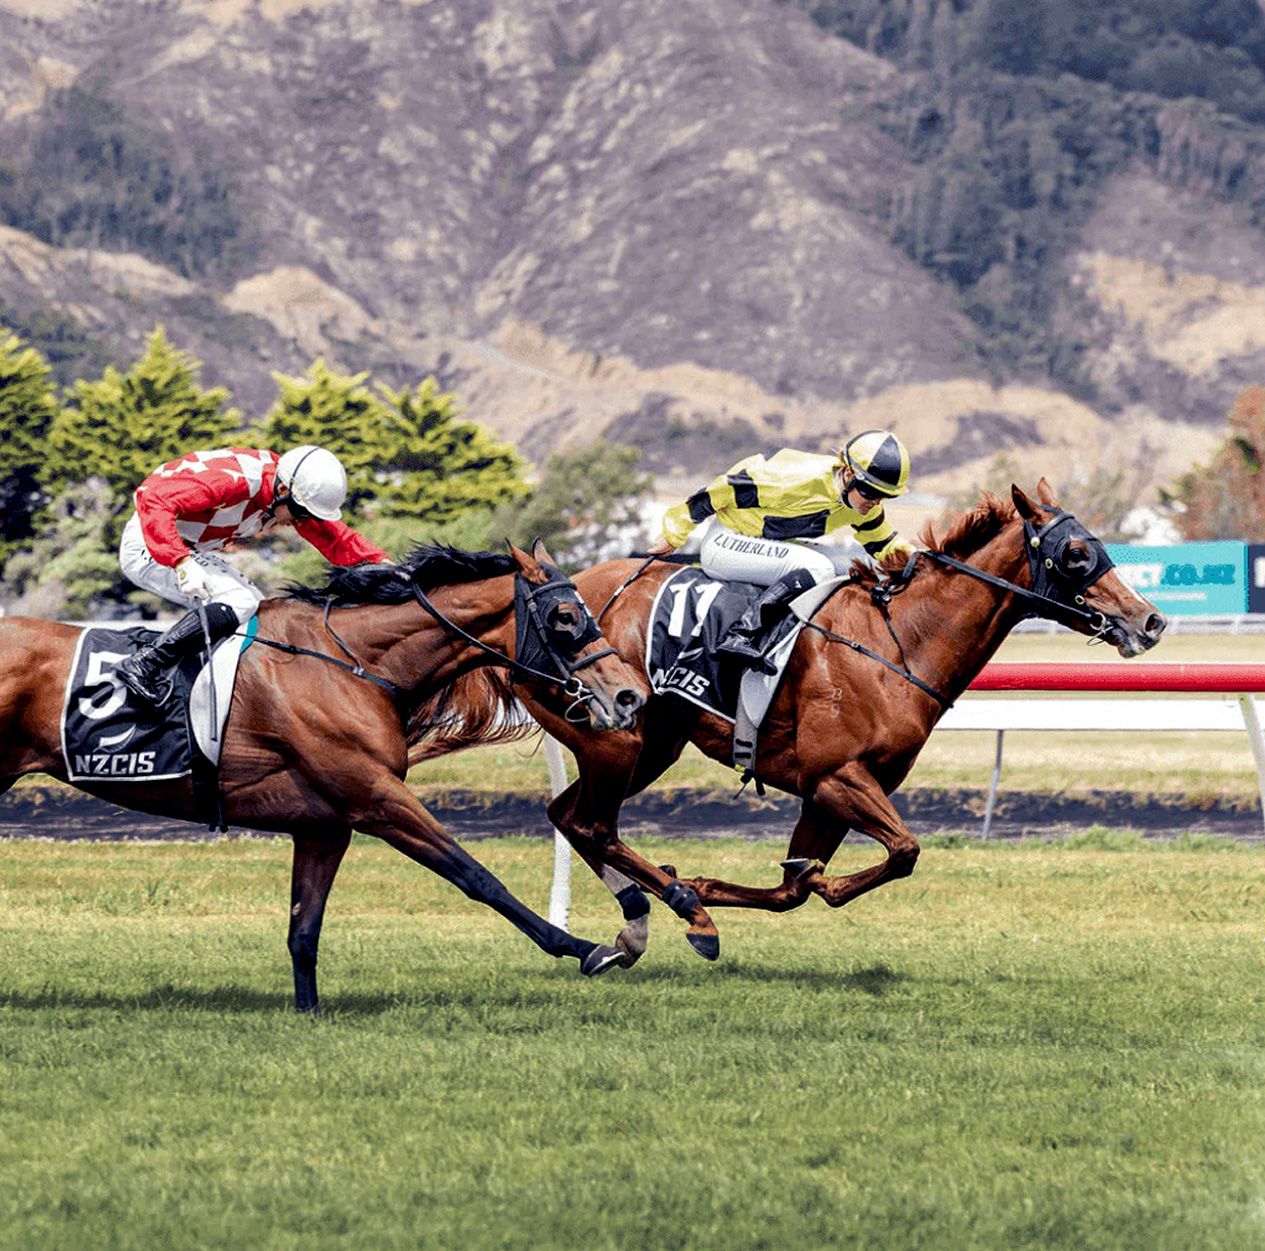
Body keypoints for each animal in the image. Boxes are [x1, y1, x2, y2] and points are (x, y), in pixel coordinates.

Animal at [0, 542, 648, 1011]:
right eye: (565, 616)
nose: (630, 694)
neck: (351, 665)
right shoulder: (378, 800)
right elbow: (478, 877)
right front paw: (587, 947)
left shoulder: (324, 827)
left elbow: (303, 929)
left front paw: (307, 1013)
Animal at [412, 482, 1167, 964]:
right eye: (1076, 553)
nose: (1149, 620)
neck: (897, 641)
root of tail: (534, 608)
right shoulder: (837, 776)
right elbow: (900, 851)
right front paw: (726, 890)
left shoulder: (826, 792)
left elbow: (792, 888)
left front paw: (739, 884)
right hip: (617, 736)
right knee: (591, 823)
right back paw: (685, 911)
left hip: (650, 743)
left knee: (571, 816)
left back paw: (647, 920)